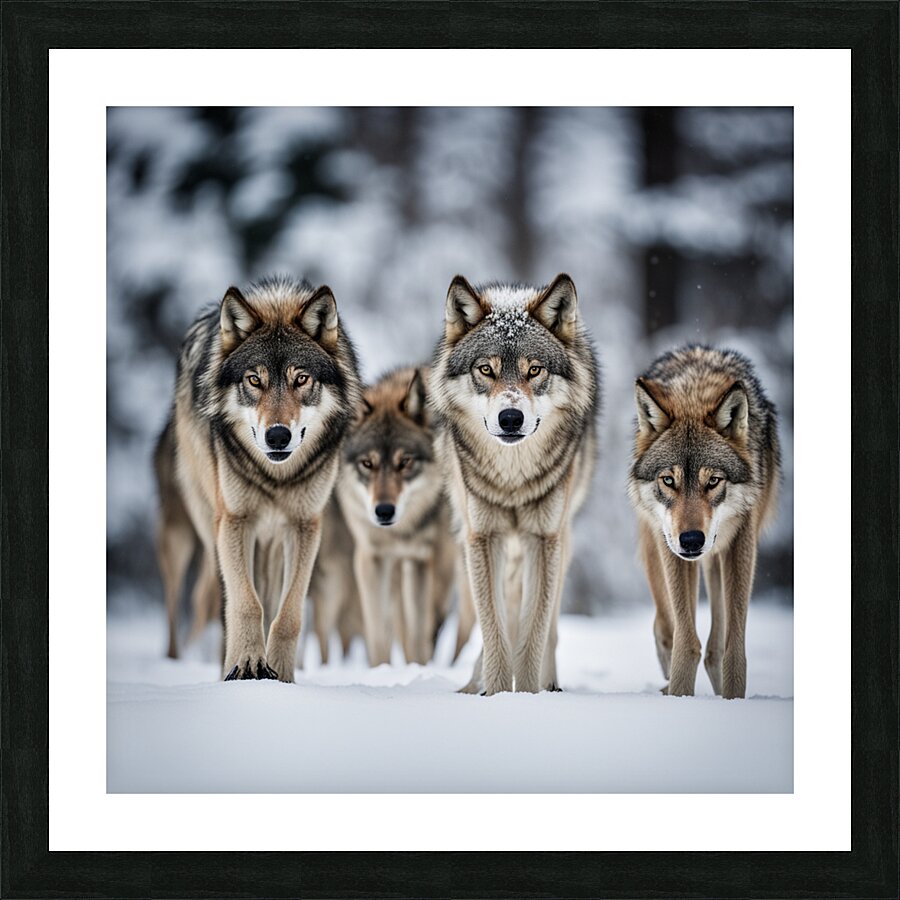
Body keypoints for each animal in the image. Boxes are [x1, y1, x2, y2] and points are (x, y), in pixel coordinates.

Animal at [159, 276, 362, 681]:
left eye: (301, 379)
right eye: (254, 380)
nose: (278, 436)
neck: (276, 477)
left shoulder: (305, 526)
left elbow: (288, 614)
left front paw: (280, 675)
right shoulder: (235, 521)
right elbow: (247, 603)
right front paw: (249, 664)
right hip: (203, 532)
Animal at [333, 366, 456, 666]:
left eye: (405, 462)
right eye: (368, 463)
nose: (384, 511)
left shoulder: (420, 559)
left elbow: (418, 633)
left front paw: (419, 669)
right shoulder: (371, 557)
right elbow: (378, 633)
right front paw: (382, 672)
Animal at [430, 274, 599, 694]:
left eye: (534, 370)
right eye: (486, 370)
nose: (510, 418)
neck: (513, 480)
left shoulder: (543, 538)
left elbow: (533, 631)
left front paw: (525, 696)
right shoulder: (482, 536)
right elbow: (494, 630)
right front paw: (496, 694)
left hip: (559, 540)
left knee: (547, 624)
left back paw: (550, 682)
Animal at [627, 345, 781, 699]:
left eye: (712, 481)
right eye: (669, 480)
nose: (692, 540)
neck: (693, 392)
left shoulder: (741, 542)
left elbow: (732, 648)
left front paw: (733, 698)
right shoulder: (671, 547)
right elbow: (686, 642)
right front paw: (680, 695)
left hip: (717, 558)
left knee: (715, 643)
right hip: (658, 550)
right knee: (665, 624)